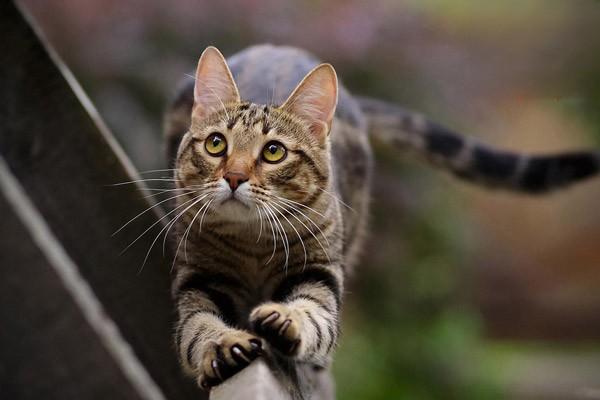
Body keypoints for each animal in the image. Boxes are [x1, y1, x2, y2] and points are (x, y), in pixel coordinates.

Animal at [162, 45, 596, 392]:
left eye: (273, 152)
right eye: (216, 144)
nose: (234, 177)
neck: (252, 243)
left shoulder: (320, 270)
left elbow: (316, 313)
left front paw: (289, 320)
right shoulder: (197, 276)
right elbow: (197, 324)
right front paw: (222, 345)